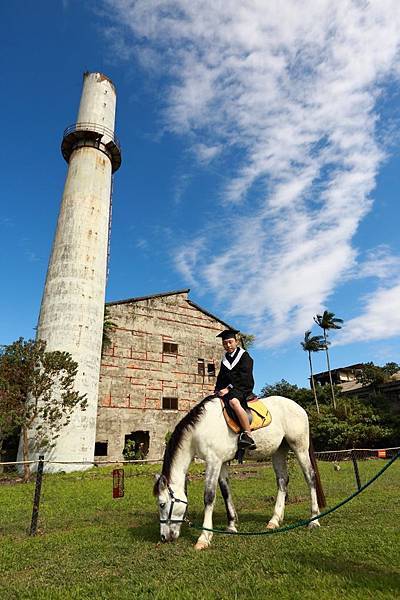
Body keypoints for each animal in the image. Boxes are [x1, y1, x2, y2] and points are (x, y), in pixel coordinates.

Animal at [153, 396, 324, 552]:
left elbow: (209, 496)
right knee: (282, 481)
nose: (163, 537)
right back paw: (275, 520)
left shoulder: (213, 461)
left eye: (162, 504)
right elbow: (225, 492)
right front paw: (231, 525)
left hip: (300, 447)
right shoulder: (221, 463)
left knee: (310, 477)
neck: (201, 428)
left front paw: (204, 538)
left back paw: (314, 520)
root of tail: (299, 407)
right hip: (279, 451)